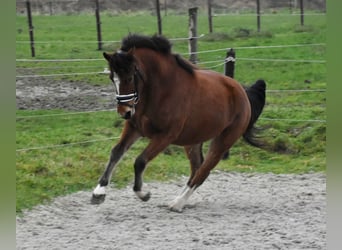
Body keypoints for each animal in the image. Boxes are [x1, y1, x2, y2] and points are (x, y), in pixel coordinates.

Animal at [90, 33, 264, 213]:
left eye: (130, 77)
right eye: (112, 78)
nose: (124, 112)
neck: (159, 91)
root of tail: (242, 92)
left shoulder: (165, 136)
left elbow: (140, 161)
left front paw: (143, 194)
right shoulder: (134, 128)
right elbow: (116, 152)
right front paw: (98, 193)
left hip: (223, 142)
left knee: (203, 172)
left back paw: (178, 203)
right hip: (193, 140)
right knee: (197, 168)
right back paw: (181, 200)